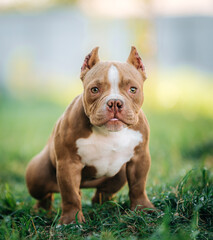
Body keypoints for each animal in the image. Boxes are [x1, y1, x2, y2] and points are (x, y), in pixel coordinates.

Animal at [25, 46, 154, 223]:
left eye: (133, 89)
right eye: (95, 90)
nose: (115, 102)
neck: (108, 132)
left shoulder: (140, 158)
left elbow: (138, 185)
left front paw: (143, 209)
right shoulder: (68, 163)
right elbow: (70, 194)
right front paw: (71, 221)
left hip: (119, 175)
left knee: (102, 192)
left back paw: (104, 205)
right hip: (37, 177)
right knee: (46, 195)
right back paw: (41, 211)